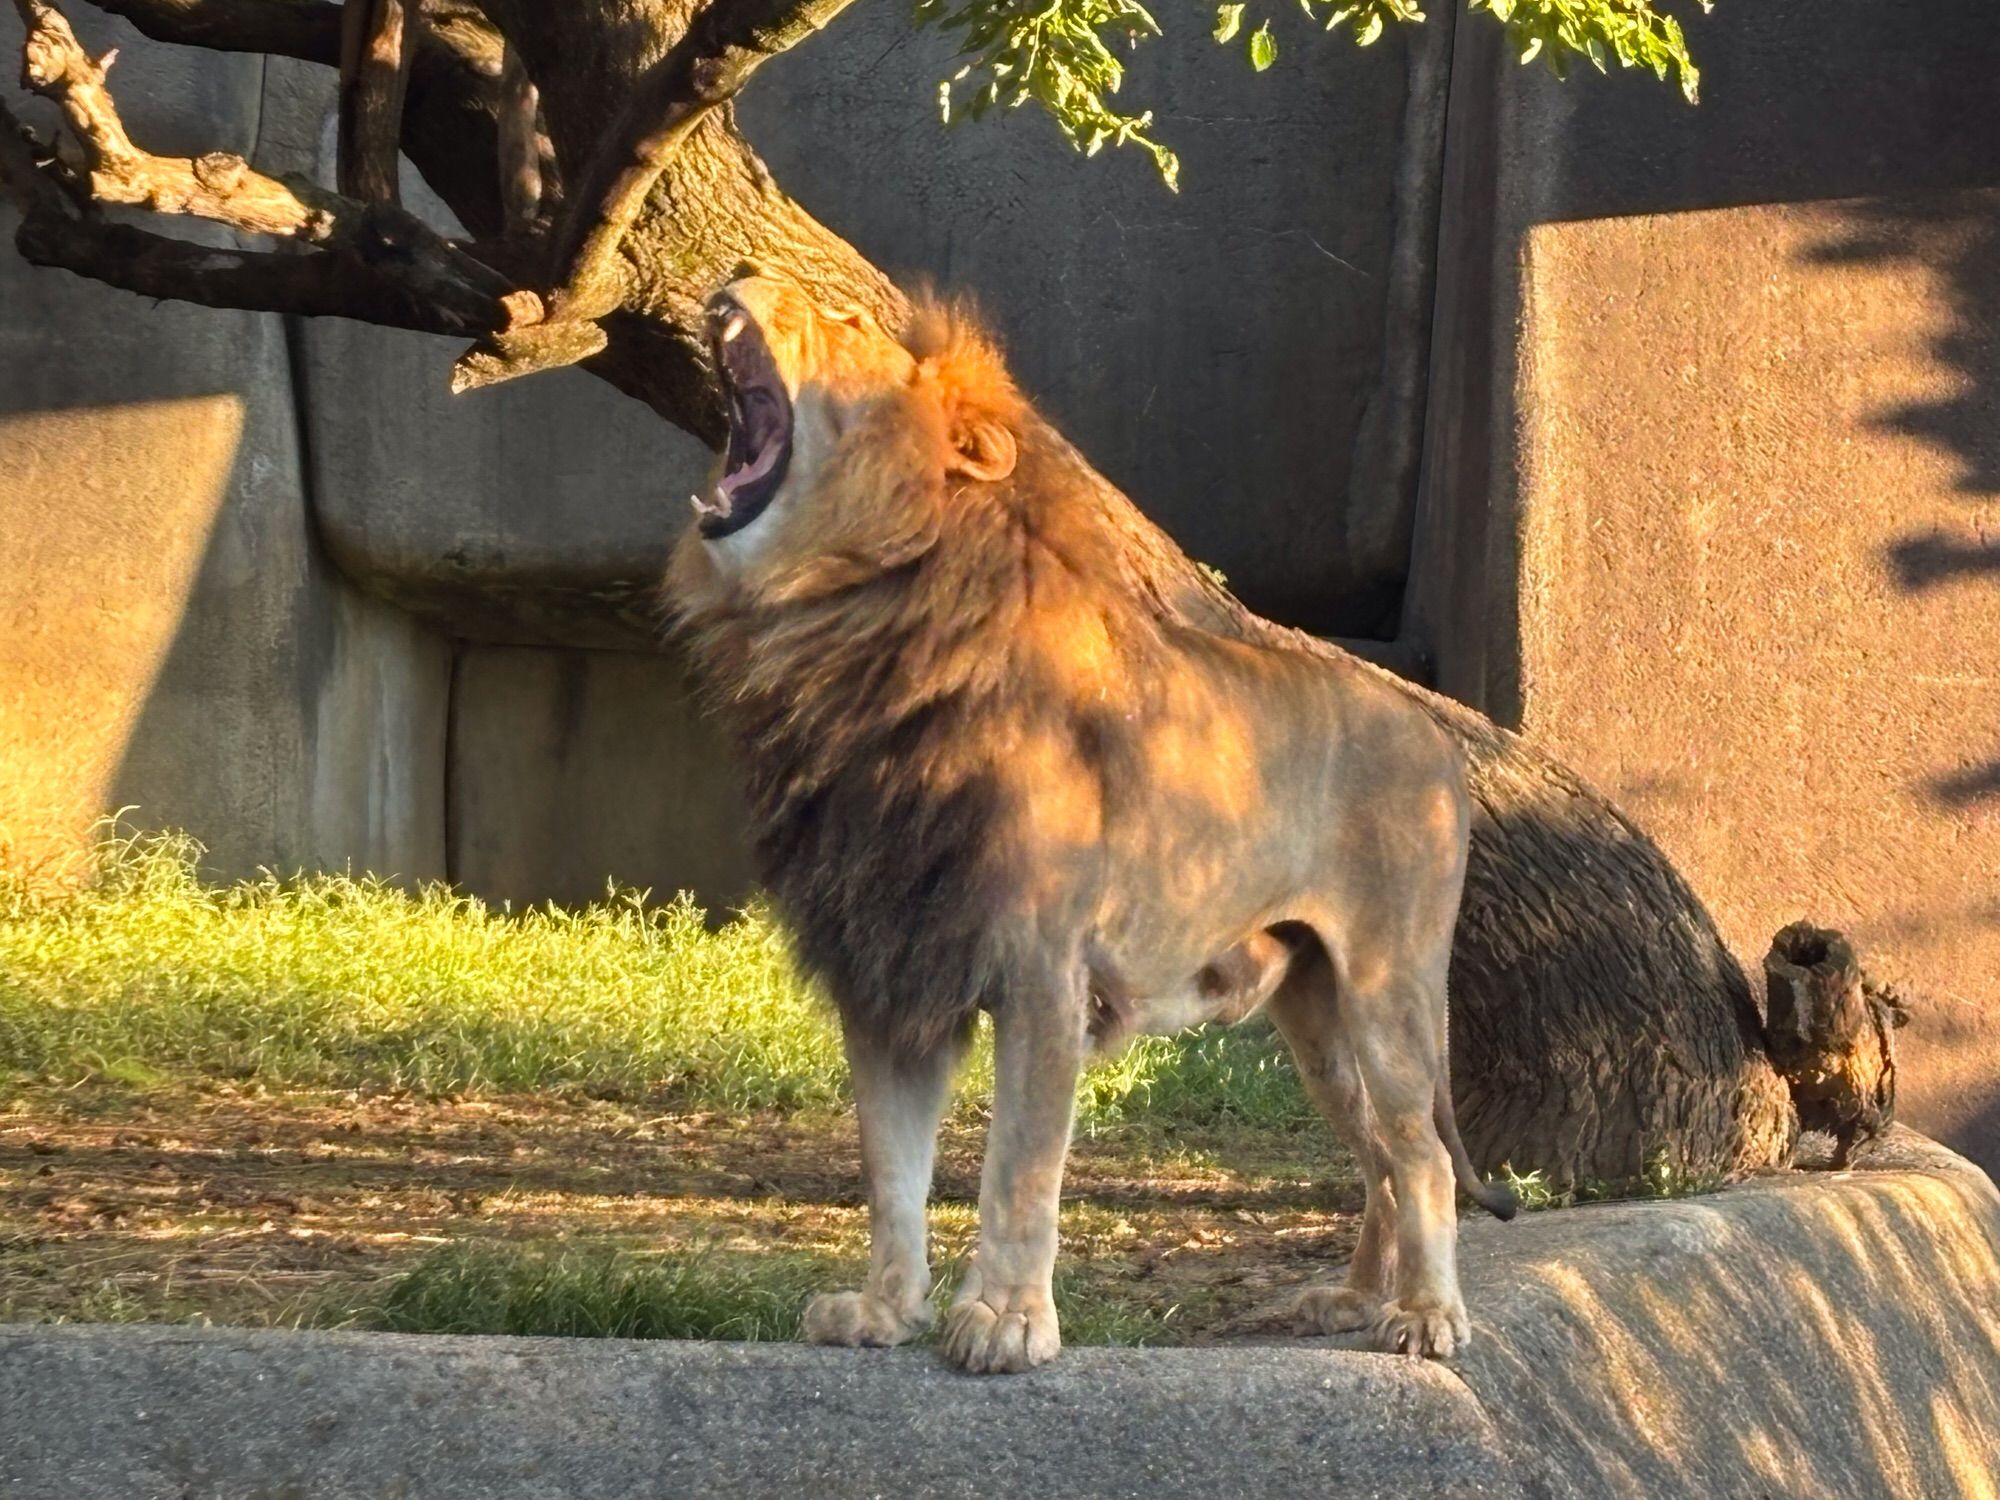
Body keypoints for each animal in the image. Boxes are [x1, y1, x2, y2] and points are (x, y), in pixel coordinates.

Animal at [672, 270, 1512, 1376]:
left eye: (845, 323)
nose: (734, 278)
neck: (838, 635)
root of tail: (1433, 731)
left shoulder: (1041, 968)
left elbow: (1018, 1167)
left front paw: (1005, 1322)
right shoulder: (886, 971)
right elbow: (891, 1173)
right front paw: (883, 1313)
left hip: (1389, 993)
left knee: (1419, 1158)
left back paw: (1425, 1315)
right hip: (1316, 1018)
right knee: (1375, 1156)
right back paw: (1349, 1299)